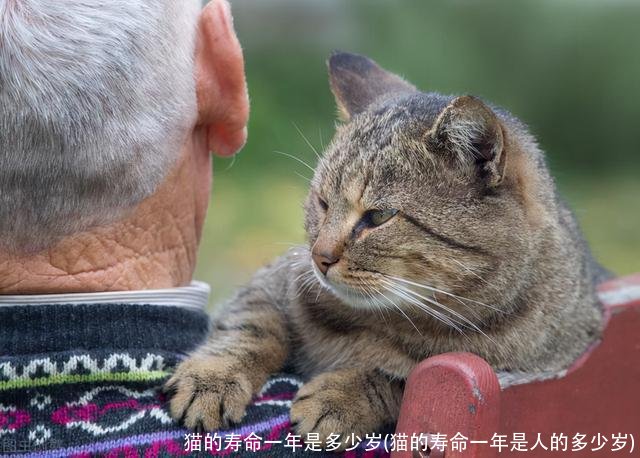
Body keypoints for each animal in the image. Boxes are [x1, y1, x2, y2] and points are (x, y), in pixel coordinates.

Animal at [165, 52, 604, 442]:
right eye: (323, 202)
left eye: (378, 217)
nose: (319, 257)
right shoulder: (273, 281)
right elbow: (250, 325)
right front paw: (212, 378)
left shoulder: (508, 371)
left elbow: (401, 378)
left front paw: (342, 395)